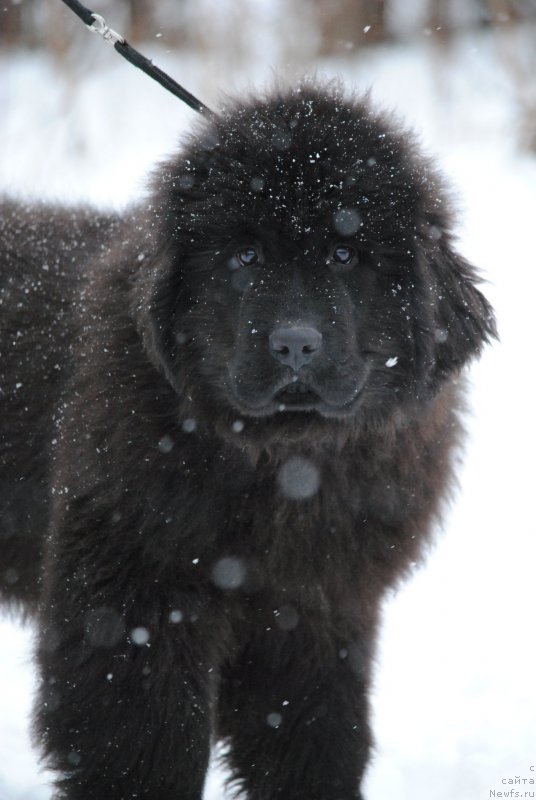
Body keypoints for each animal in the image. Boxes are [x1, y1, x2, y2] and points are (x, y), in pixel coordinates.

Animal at [0, 84, 494, 796]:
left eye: (345, 254)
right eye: (246, 257)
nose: (294, 343)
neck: (281, 462)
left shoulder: (318, 608)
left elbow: (314, 735)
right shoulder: (136, 597)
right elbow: (148, 746)